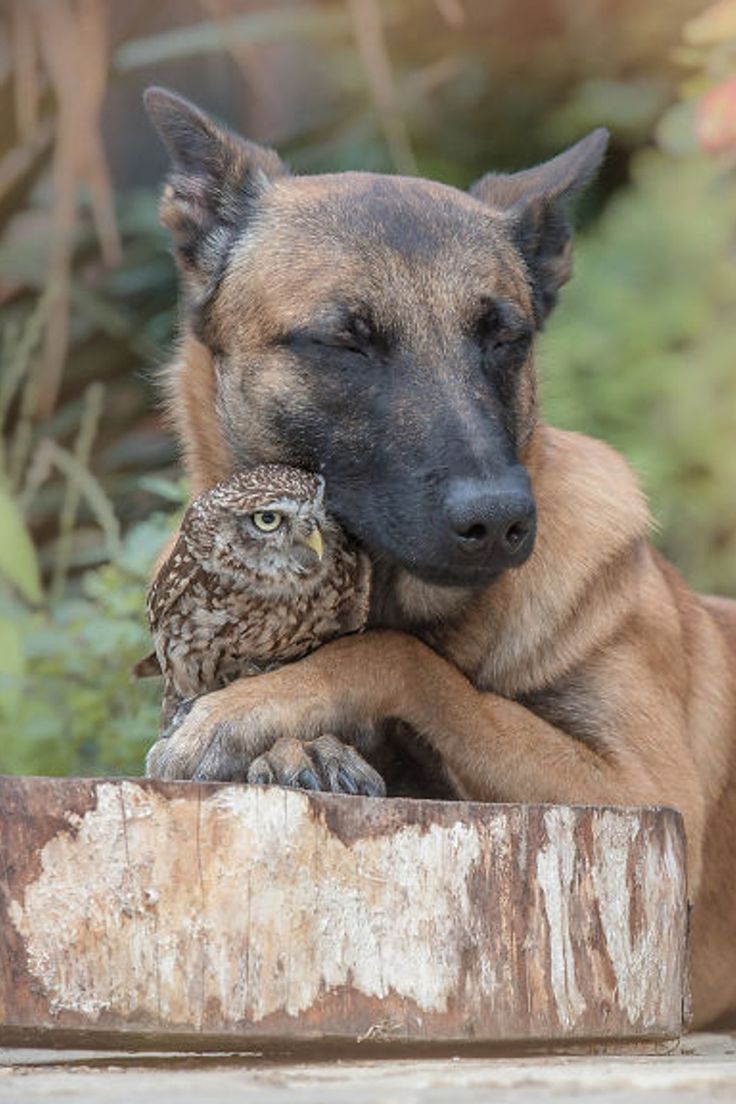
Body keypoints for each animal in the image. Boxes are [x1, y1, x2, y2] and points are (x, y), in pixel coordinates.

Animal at [142, 86, 736, 1024]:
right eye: (346, 340)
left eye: (503, 338)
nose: (499, 520)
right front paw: (296, 746)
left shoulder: (648, 792)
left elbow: (404, 661)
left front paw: (260, 710)